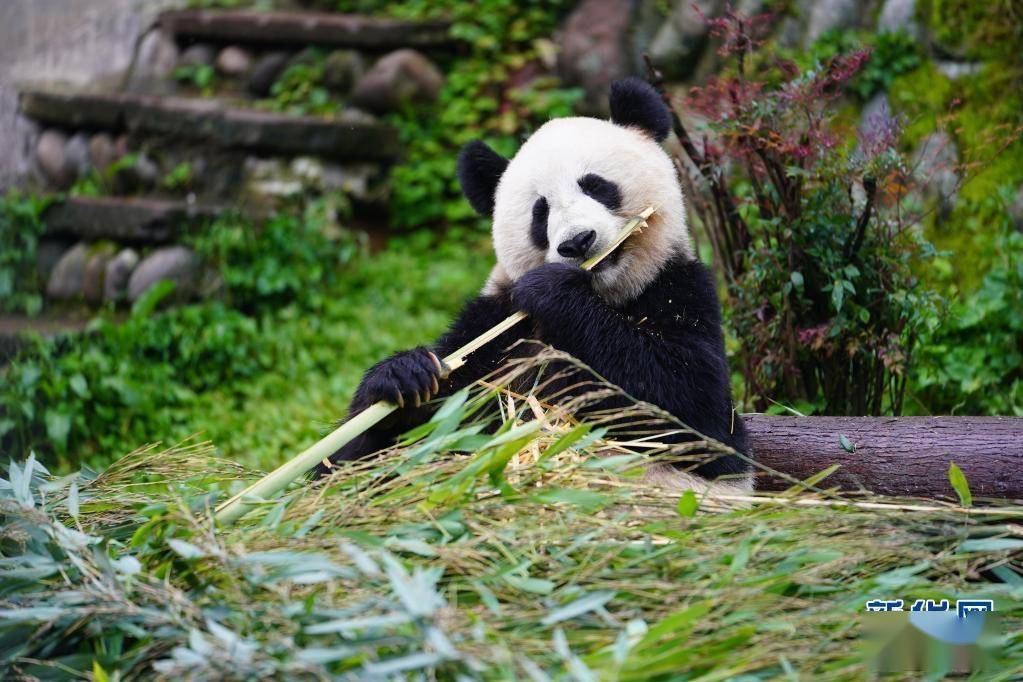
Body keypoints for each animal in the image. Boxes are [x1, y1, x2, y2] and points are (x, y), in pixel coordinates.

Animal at [323, 77, 757, 492]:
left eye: (596, 185)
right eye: (540, 211)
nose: (578, 242)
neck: (606, 295)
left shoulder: (680, 289)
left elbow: (697, 413)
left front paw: (552, 292)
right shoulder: (493, 331)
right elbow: (357, 461)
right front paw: (402, 377)